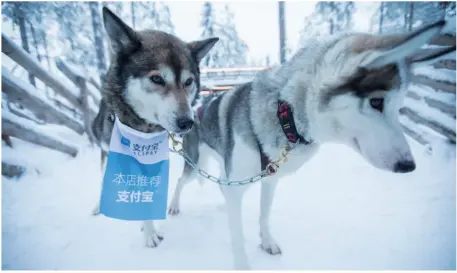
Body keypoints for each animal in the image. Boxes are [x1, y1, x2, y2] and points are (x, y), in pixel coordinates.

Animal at [91, 7, 217, 246]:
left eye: (188, 82)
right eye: (157, 78)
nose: (187, 123)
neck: (143, 128)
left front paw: (147, 227)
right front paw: (149, 233)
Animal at [168, 21, 456, 268]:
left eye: (399, 107)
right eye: (376, 102)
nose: (409, 165)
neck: (286, 115)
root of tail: (196, 109)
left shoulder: (269, 180)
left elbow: (264, 215)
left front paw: (267, 242)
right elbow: (237, 236)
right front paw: (242, 265)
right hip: (195, 165)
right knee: (182, 181)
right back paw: (173, 206)